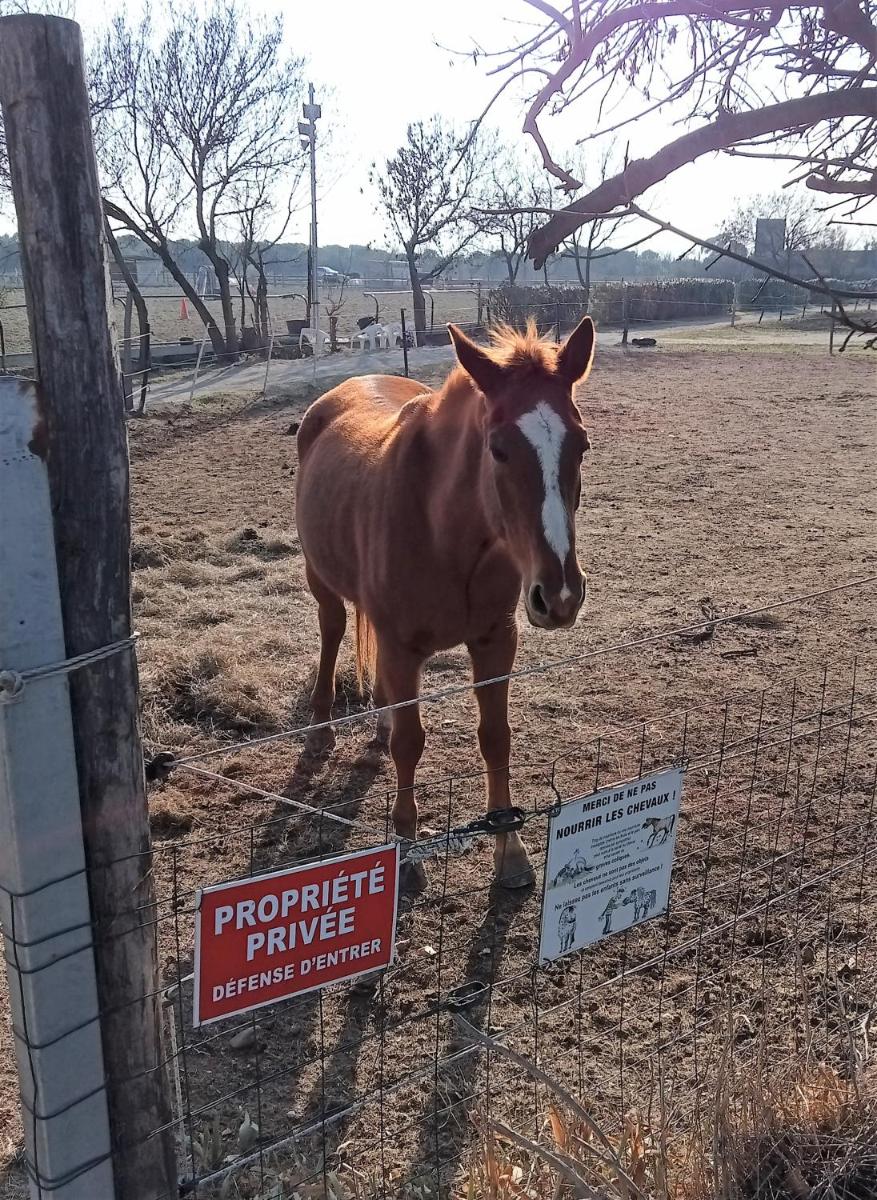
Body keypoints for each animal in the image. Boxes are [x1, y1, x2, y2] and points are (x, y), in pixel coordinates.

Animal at [296, 319, 597, 892]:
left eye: (582, 445)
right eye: (498, 449)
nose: (560, 595)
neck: (448, 535)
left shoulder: (495, 640)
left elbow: (495, 737)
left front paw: (510, 849)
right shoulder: (399, 647)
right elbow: (410, 744)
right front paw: (408, 846)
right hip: (320, 579)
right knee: (331, 630)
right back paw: (321, 725)